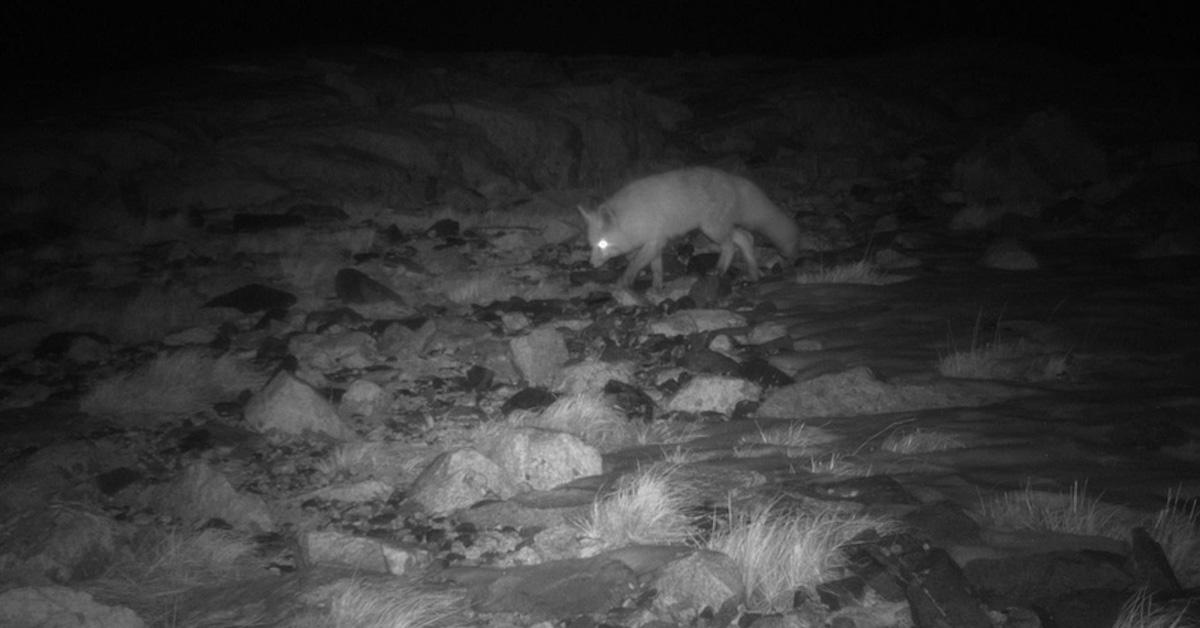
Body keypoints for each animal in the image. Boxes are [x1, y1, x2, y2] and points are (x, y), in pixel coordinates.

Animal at [578, 165, 801, 291]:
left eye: (603, 244)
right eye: (591, 245)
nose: (591, 264)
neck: (632, 218)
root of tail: (731, 179)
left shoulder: (655, 240)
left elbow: (635, 265)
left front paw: (623, 284)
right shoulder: (655, 242)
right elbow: (656, 268)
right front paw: (657, 288)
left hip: (712, 230)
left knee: (731, 245)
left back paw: (720, 269)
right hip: (718, 228)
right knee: (745, 238)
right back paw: (753, 274)